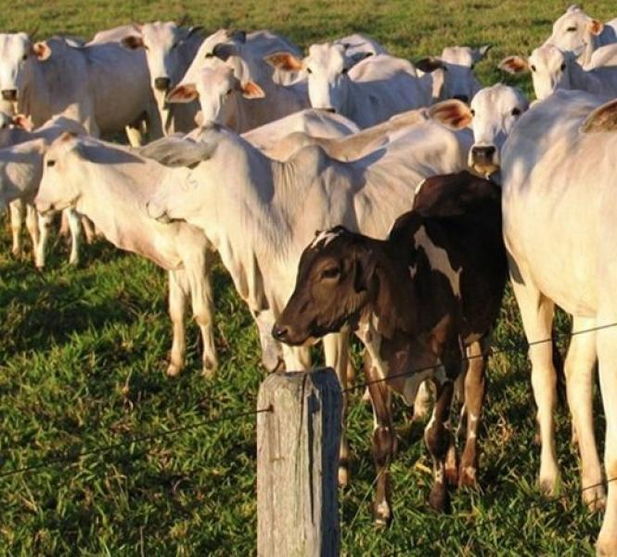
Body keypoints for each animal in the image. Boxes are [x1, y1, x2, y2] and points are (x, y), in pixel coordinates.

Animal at [33, 134, 218, 378]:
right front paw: (176, 363)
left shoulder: (197, 255)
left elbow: (203, 312)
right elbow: (177, 311)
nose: (37, 203)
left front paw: (210, 367)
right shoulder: (176, 263)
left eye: (51, 162)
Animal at [500, 89, 616, 552]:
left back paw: (591, 488)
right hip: (527, 284)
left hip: (587, 307)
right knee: (545, 377)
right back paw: (550, 478)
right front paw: (609, 543)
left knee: (576, 373)